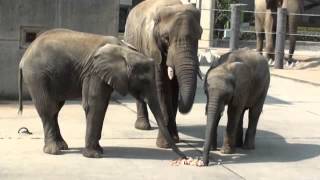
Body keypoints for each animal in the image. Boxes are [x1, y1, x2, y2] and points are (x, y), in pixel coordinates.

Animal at [124, 0, 202, 148]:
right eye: (166, 38)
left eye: (199, 36)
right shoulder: (152, 47)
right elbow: (161, 88)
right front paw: (164, 145)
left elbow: (175, 89)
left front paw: (175, 139)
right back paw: (143, 127)